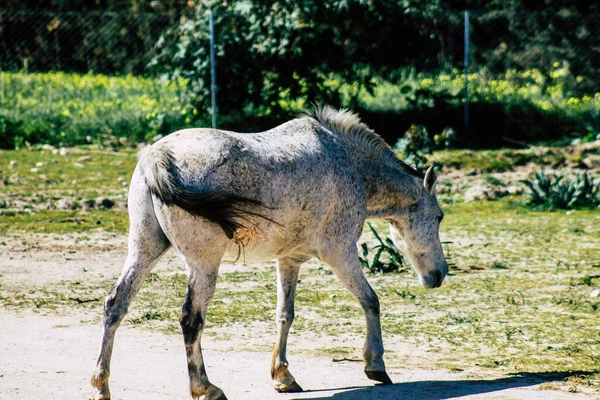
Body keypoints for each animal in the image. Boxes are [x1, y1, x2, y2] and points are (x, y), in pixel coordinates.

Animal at [89, 107, 446, 400]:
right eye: (440, 216)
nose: (439, 275)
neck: (348, 162)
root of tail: (158, 156)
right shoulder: (341, 253)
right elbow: (371, 300)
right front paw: (376, 365)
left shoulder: (289, 260)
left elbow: (284, 314)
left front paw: (283, 376)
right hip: (203, 265)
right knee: (191, 319)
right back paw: (206, 389)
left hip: (144, 249)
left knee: (115, 304)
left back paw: (101, 386)